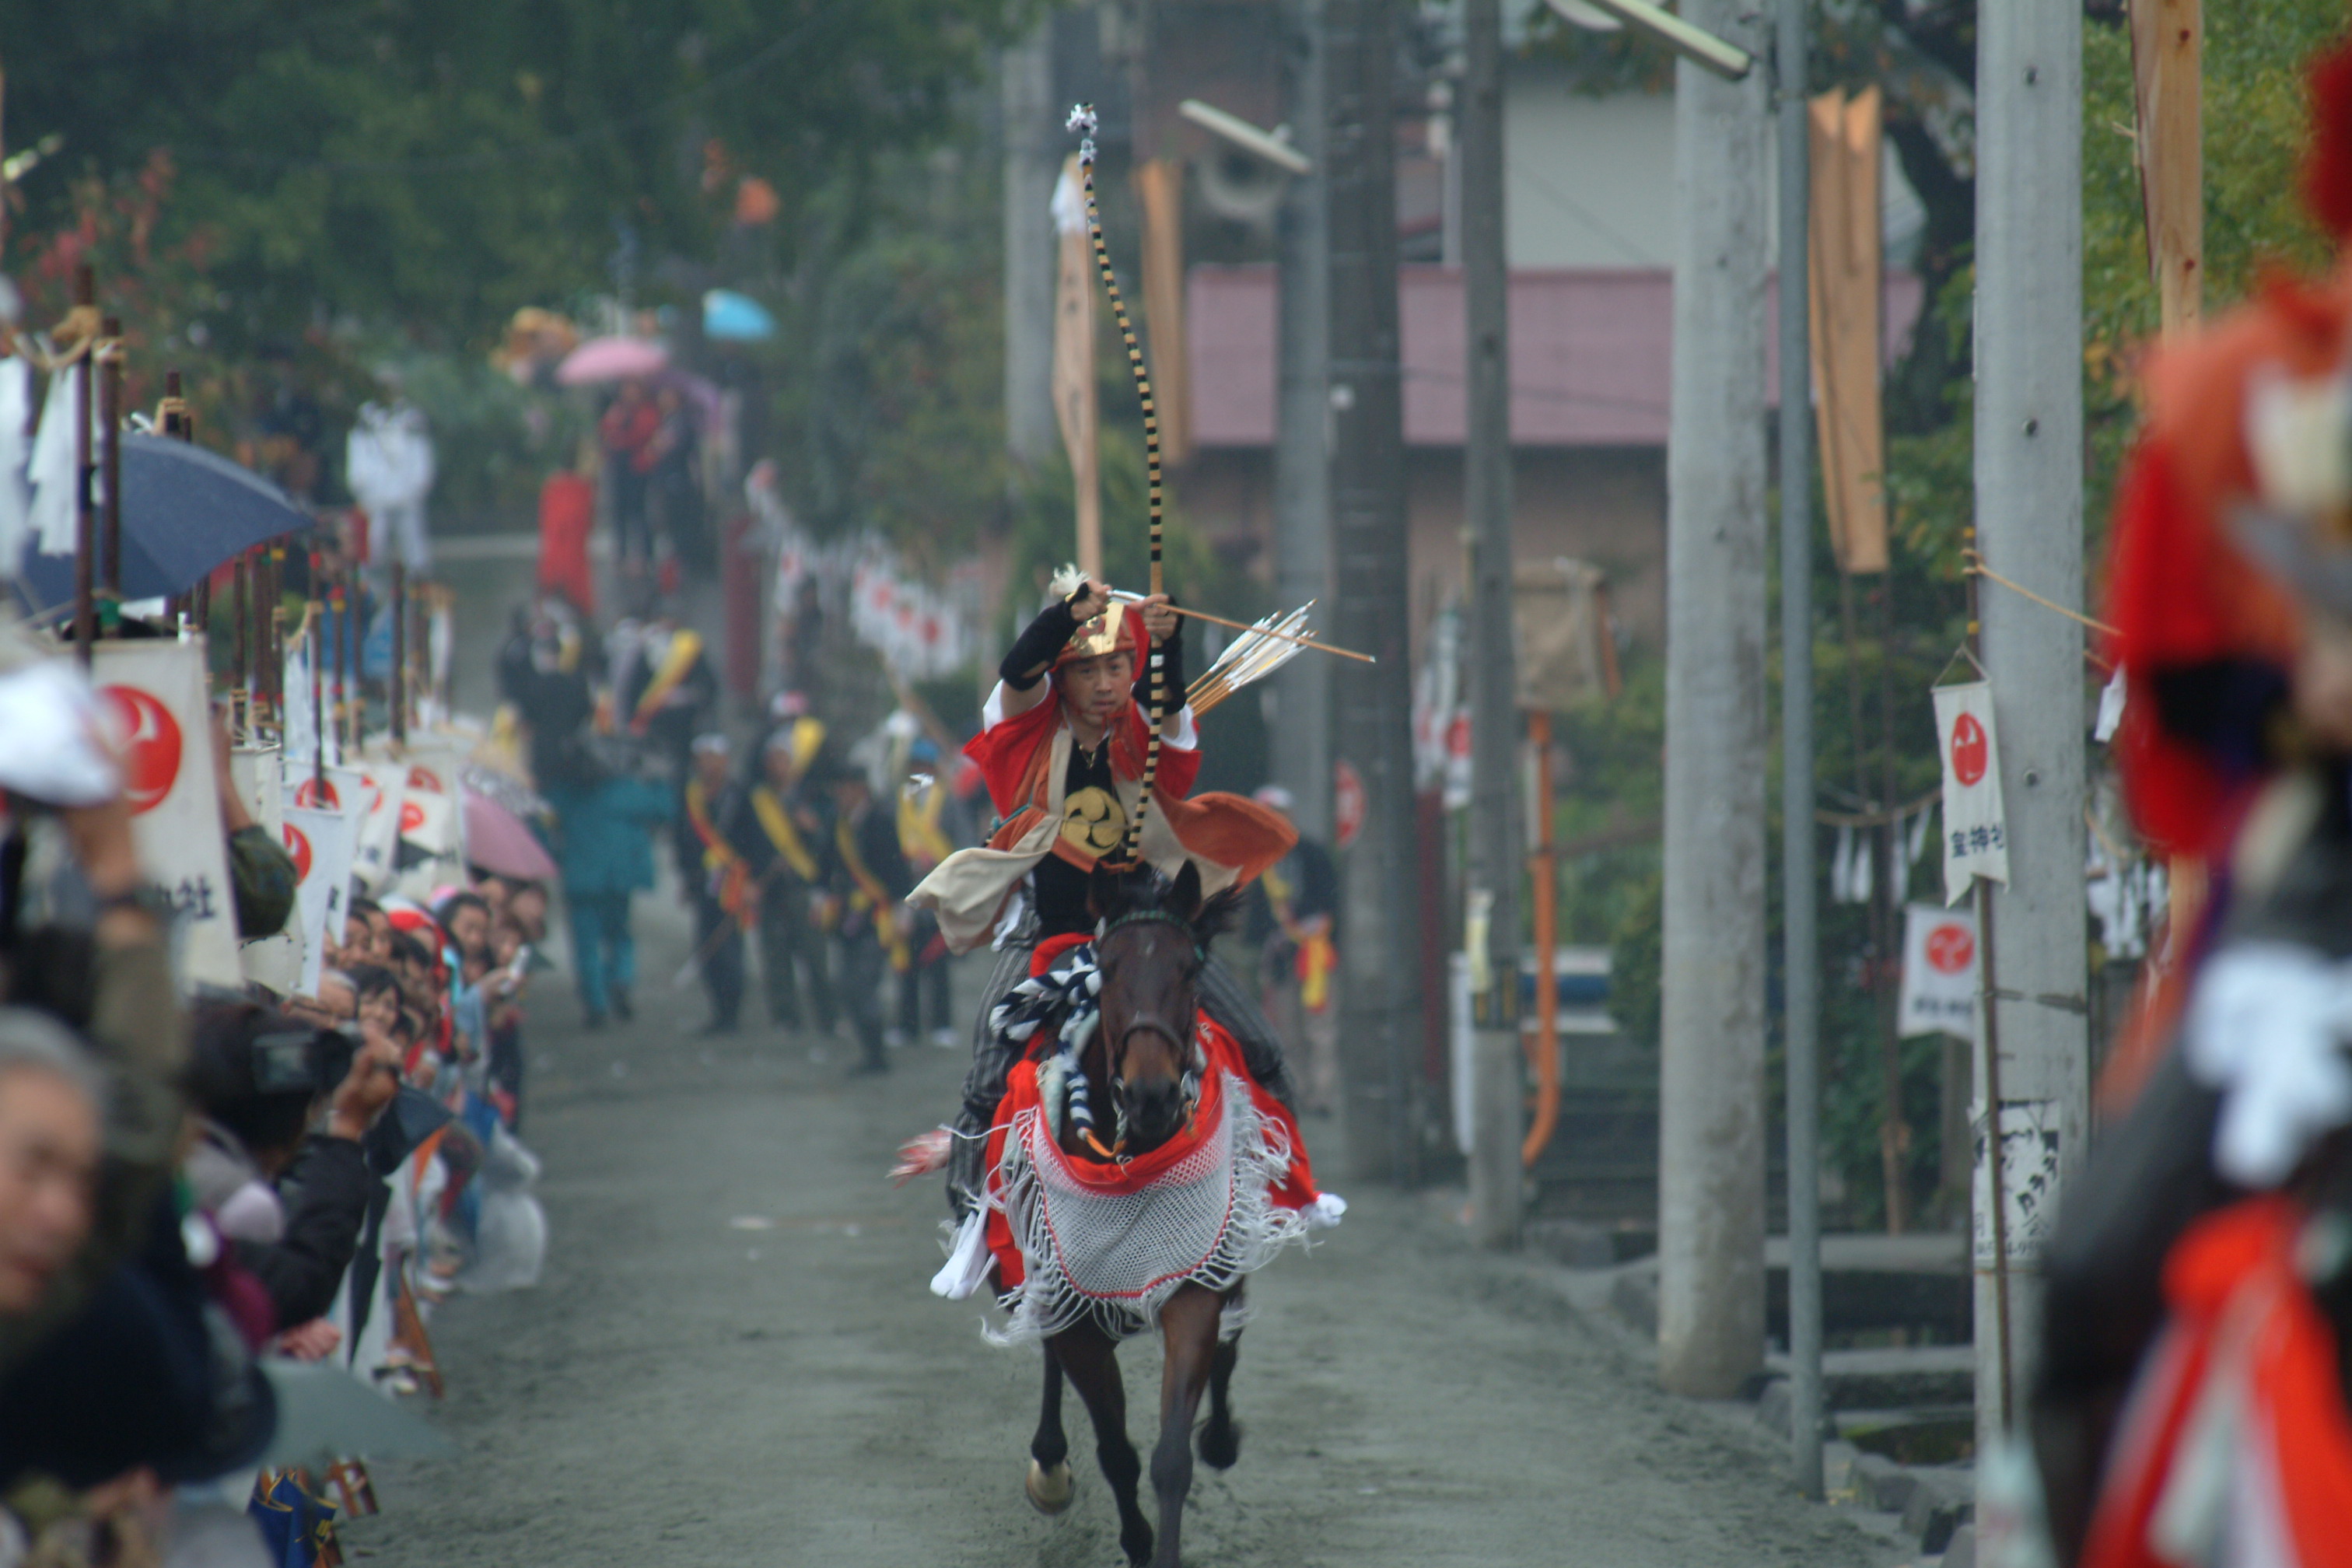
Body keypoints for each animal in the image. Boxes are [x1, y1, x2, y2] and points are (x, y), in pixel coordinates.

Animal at [1025, 860, 1251, 1568]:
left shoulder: (1191, 1289)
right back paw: (1048, 1462)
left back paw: (1223, 1436)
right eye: (1109, 966)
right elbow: (1115, 1452)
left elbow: (1170, 1457)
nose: (1151, 1096)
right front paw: (1136, 1539)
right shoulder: (1075, 1313)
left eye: (1188, 970)